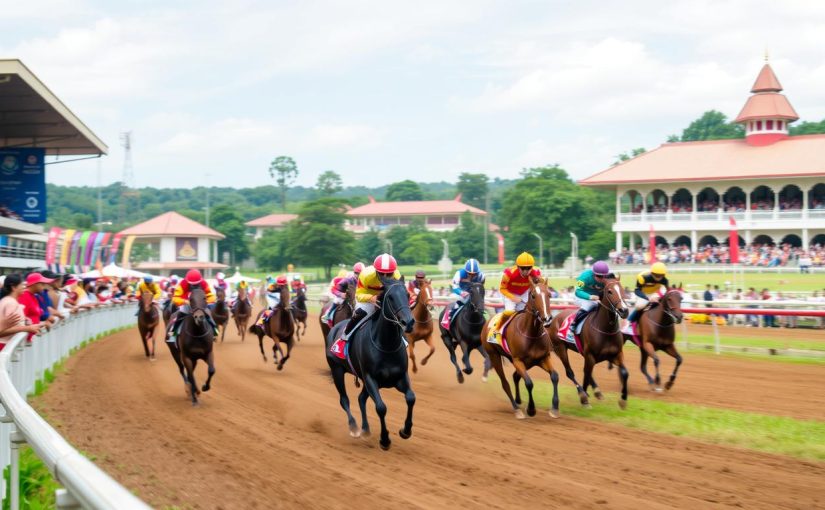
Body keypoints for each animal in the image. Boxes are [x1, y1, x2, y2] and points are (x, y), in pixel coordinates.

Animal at [326, 278, 416, 450]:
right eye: (390, 297)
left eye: (408, 294)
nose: (408, 322)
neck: (386, 345)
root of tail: (334, 328)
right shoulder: (370, 378)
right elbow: (381, 407)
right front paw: (385, 440)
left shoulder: (400, 376)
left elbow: (411, 398)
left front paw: (406, 430)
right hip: (337, 370)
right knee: (344, 400)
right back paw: (354, 427)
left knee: (361, 398)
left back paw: (366, 429)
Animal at [480, 278, 564, 418]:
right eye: (533, 295)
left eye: (549, 295)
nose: (547, 319)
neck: (531, 333)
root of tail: (488, 322)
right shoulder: (518, 360)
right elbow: (529, 383)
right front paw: (531, 409)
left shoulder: (542, 358)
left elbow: (555, 376)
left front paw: (555, 408)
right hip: (494, 355)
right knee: (505, 383)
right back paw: (516, 408)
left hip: (526, 363)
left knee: (515, 376)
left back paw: (518, 400)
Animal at [548, 276, 632, 408]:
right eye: (609, 291)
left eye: (622, 289)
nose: (624, 310)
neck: (606, 329)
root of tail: (554, 318)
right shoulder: (590, 355)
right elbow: (586, 374)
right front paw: (584, 399)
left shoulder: (615, 354)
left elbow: (625, 373)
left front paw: (623, 400)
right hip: (560, 348)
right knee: (570, 372)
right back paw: (582, 392)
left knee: (588, 372)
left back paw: (597, 392)